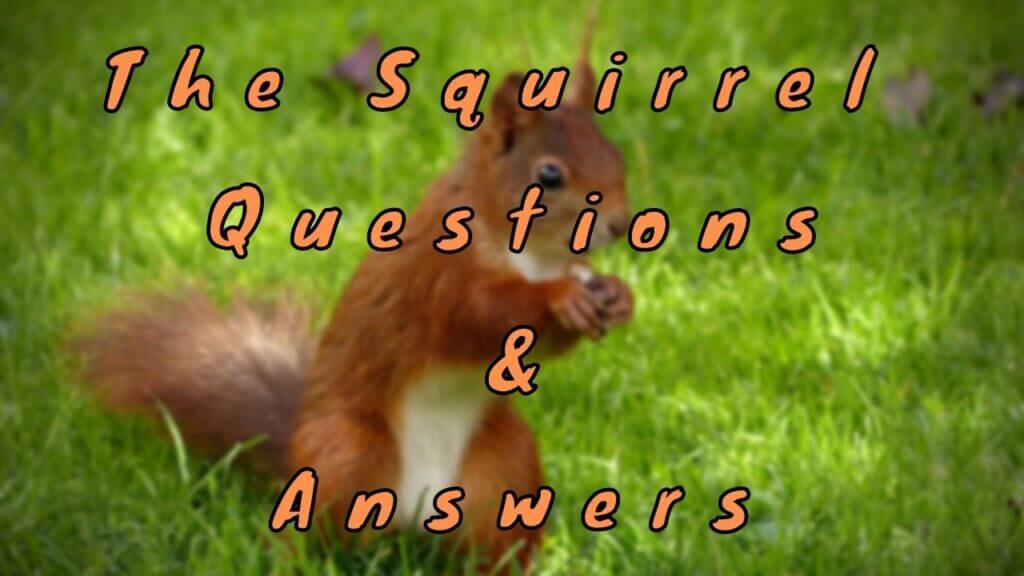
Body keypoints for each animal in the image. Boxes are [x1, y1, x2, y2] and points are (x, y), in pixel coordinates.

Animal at [73, 29, 634, 574]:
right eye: (549, 175)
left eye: (617, 157)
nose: (620, 224)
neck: (532, 255)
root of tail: (415, 509)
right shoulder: (439, 273)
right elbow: (479, 312)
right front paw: (561, 298)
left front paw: (619, 297)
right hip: (347, 455)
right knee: (308, 525)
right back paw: (292, 560)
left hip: (505, 471)